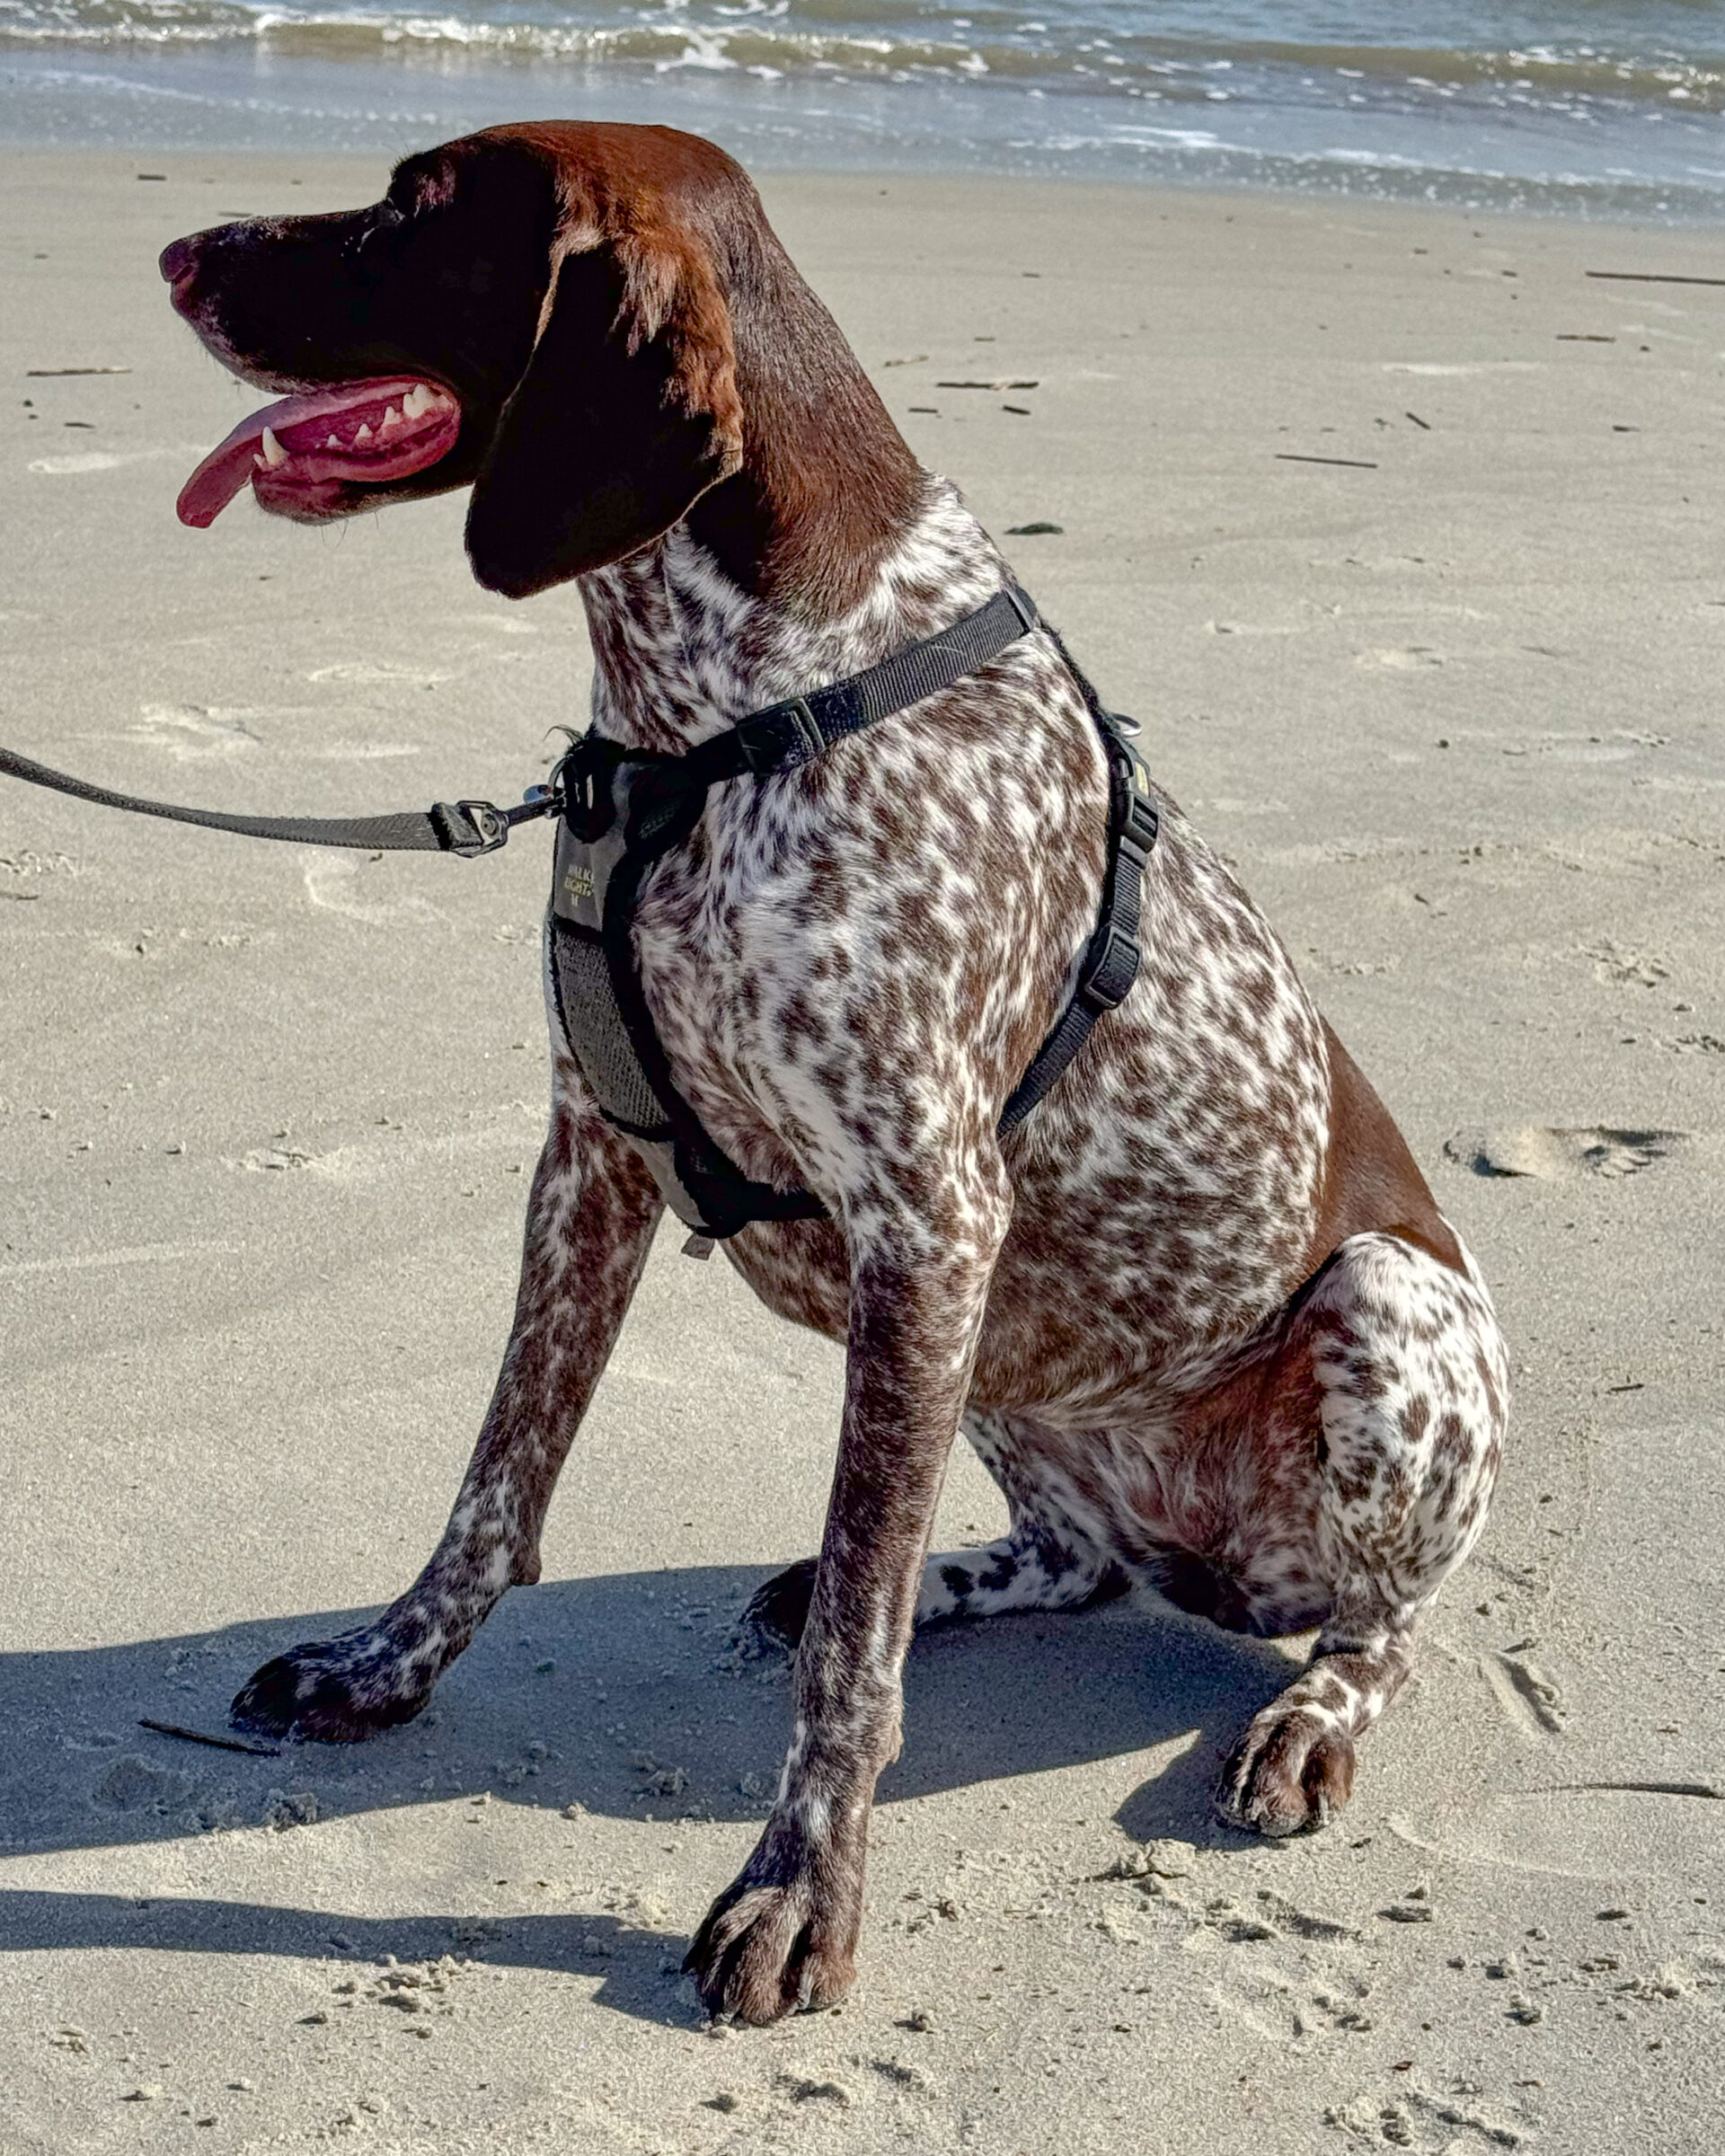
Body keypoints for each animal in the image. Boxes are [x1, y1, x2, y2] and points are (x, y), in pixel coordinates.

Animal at [162, 126, 1509, 2027]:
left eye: (415, 211)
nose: (176, 254)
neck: (720, 719)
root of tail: (1221, 1567)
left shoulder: (927, 1212)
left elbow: (852, 1675)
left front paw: (804, 1890)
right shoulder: (591, 1160)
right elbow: (496, 1489)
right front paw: (386, 1665)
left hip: (1381, 1303)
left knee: (1380, 1624)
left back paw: (1308, 1714)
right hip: (1004, 1357)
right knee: (1064, 1558)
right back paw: (924, 1576)